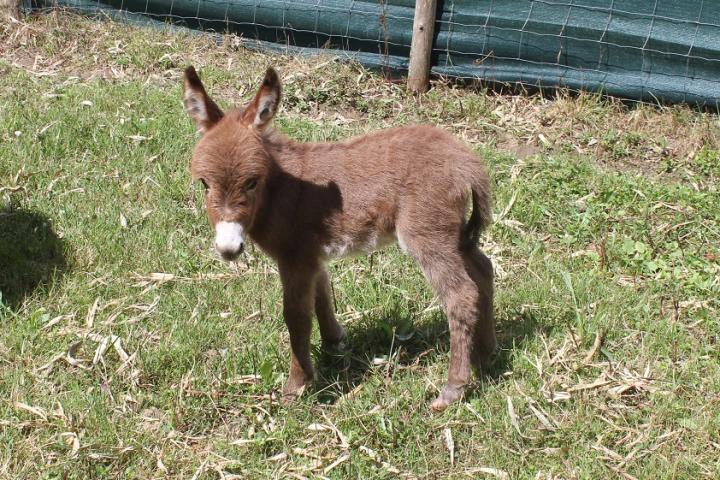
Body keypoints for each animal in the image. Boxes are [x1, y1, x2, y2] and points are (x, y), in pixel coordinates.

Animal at [183, 64, 496, 412]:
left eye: (252, 182)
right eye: (204, 183)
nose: (228, 249)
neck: (279, 190)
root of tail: (465, 160)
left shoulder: (295, 258)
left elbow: (296, 316)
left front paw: (297, 386)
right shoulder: (312, 256)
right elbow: (322, 297)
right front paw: (334, 343)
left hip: (428, 233)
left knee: (461, 294)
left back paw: (453, 388)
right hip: (456, 233)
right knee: (484, 271)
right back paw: (486, 356)